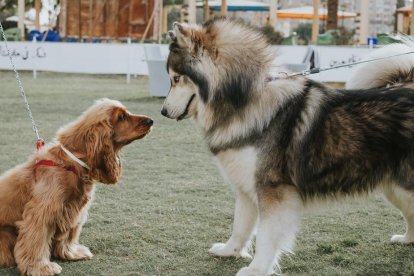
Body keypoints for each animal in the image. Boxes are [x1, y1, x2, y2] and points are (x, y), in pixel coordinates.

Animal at [161, 18, 414, 274]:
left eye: (175, 78)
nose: (162, 112)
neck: (246, 100)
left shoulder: (273, 190)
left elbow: (265, 236)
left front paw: (256, 269)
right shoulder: (246, 186)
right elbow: (240, 225)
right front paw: (230, 251)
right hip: (395, 189)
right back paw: (406, 239)